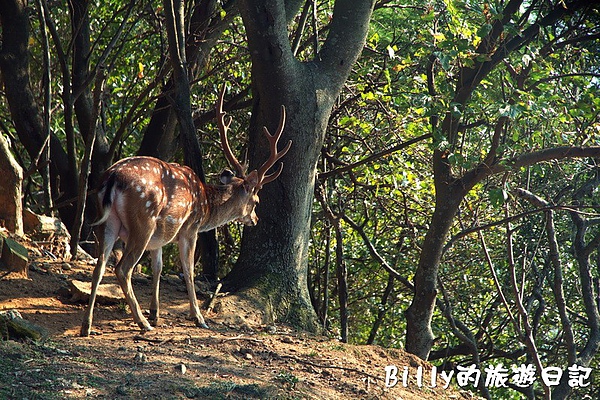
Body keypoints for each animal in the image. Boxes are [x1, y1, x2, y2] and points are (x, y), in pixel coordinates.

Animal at [81, 86, 292, 336]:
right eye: (257, 200)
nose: (256, 219)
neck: (206, 205)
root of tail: (112, 177)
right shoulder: (190, 228)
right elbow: (188, 270)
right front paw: (198, 317)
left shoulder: (160, 238)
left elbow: (158, 267)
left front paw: (156, 312)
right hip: (143, 221)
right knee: (122, 269)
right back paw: (142, 323)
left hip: (108, 222)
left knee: (99, 266)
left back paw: (87, 325)